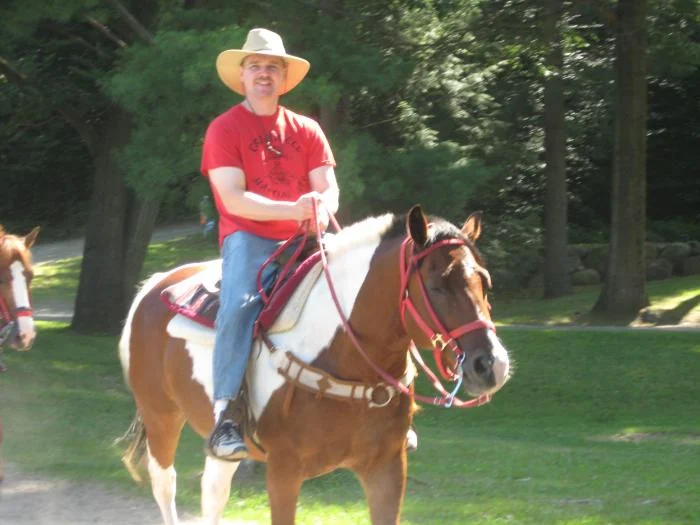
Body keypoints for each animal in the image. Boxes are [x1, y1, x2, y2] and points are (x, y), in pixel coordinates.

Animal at [117, 206, 512, 524]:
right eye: (437, 285)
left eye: (485, 281)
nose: (491, 364)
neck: (345, 358)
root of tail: (154, 285)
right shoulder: (283, 472)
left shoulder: (387, 468)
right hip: (161, 416)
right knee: (165, 485)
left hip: (217, 447)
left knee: (212, 494)